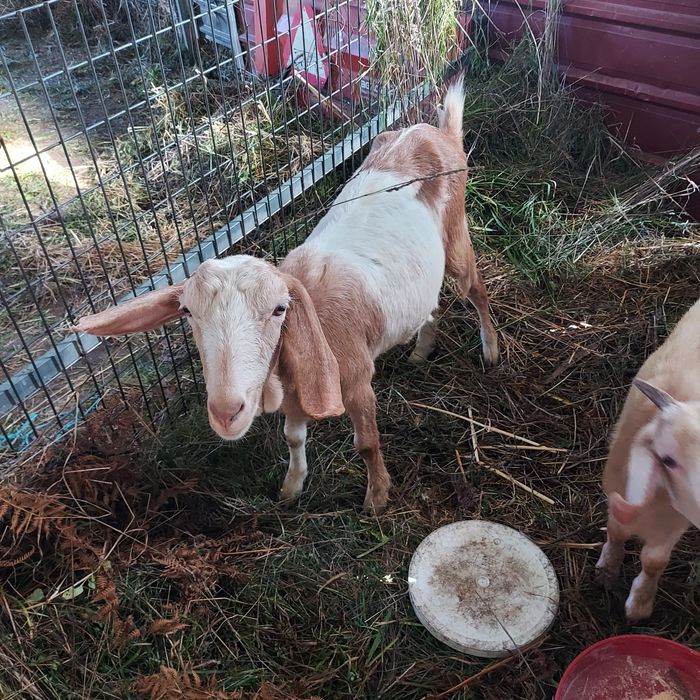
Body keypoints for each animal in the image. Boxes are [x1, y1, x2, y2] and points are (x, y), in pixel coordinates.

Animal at [74, 76, 499, 514]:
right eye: (187, 312)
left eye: (280, 310)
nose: (226, 411)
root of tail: (435, 131)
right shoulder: (296, 397)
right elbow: (293, 438)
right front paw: (292, 486)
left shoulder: (357, 379)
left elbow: (366, 443)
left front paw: (377, 497)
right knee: (431, 302)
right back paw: (422, 349)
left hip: (456, 235)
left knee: (476, 290)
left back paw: (491, 351)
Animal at [595, 297, 700, 620]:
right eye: (667, 460)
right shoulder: (617, 492)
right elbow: (616, 532)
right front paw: (608, 569)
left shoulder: (674, 524)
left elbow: (654, 561)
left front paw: (640, 604)